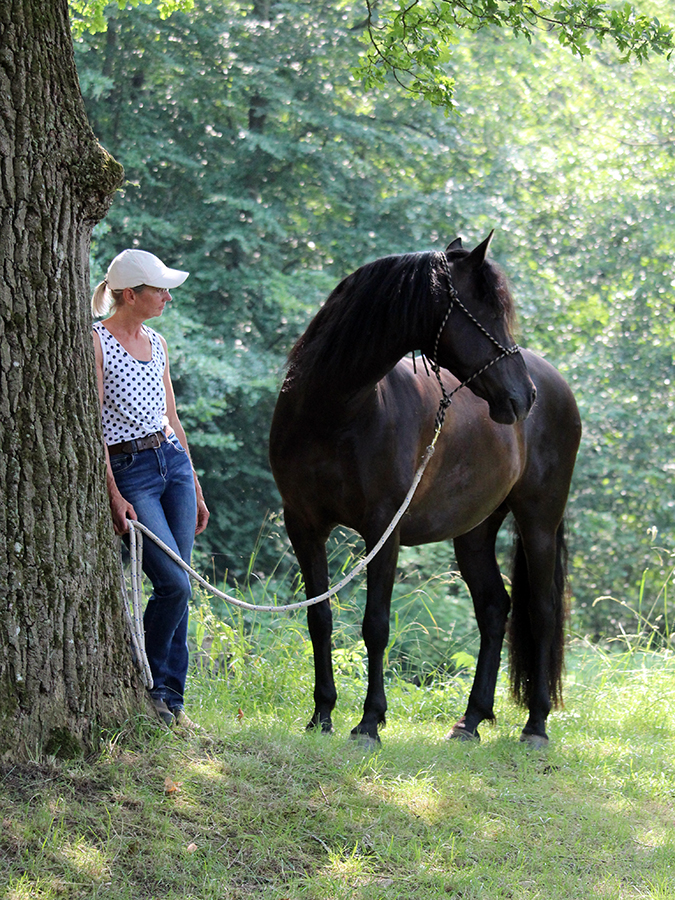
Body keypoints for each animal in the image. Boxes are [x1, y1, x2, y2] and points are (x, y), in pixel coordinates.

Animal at [269, 234, 581, 747]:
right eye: (487, 311)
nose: (524, 397)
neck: (333, 411)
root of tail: (554, 383)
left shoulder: (383, 529)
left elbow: (375, 625)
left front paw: (369, 722)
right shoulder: (304, 525)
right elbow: (320, 619)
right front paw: (322, 715)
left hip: (539, 520)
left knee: (542, 610)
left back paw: (535, 724)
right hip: (474, 531)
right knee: (494, 608)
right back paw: (470, 721)